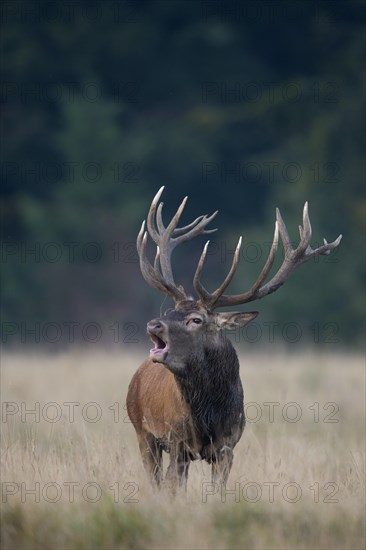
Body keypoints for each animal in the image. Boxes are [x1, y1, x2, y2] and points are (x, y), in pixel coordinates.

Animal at [127, 188, 342, 494]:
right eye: (169, 311)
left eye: (196, 319)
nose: (153, 324)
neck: (208, 416)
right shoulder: (177, 441)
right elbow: (173, 489)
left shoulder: (228, 446)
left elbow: (217, 492)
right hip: (142, 432)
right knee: (155, 480)